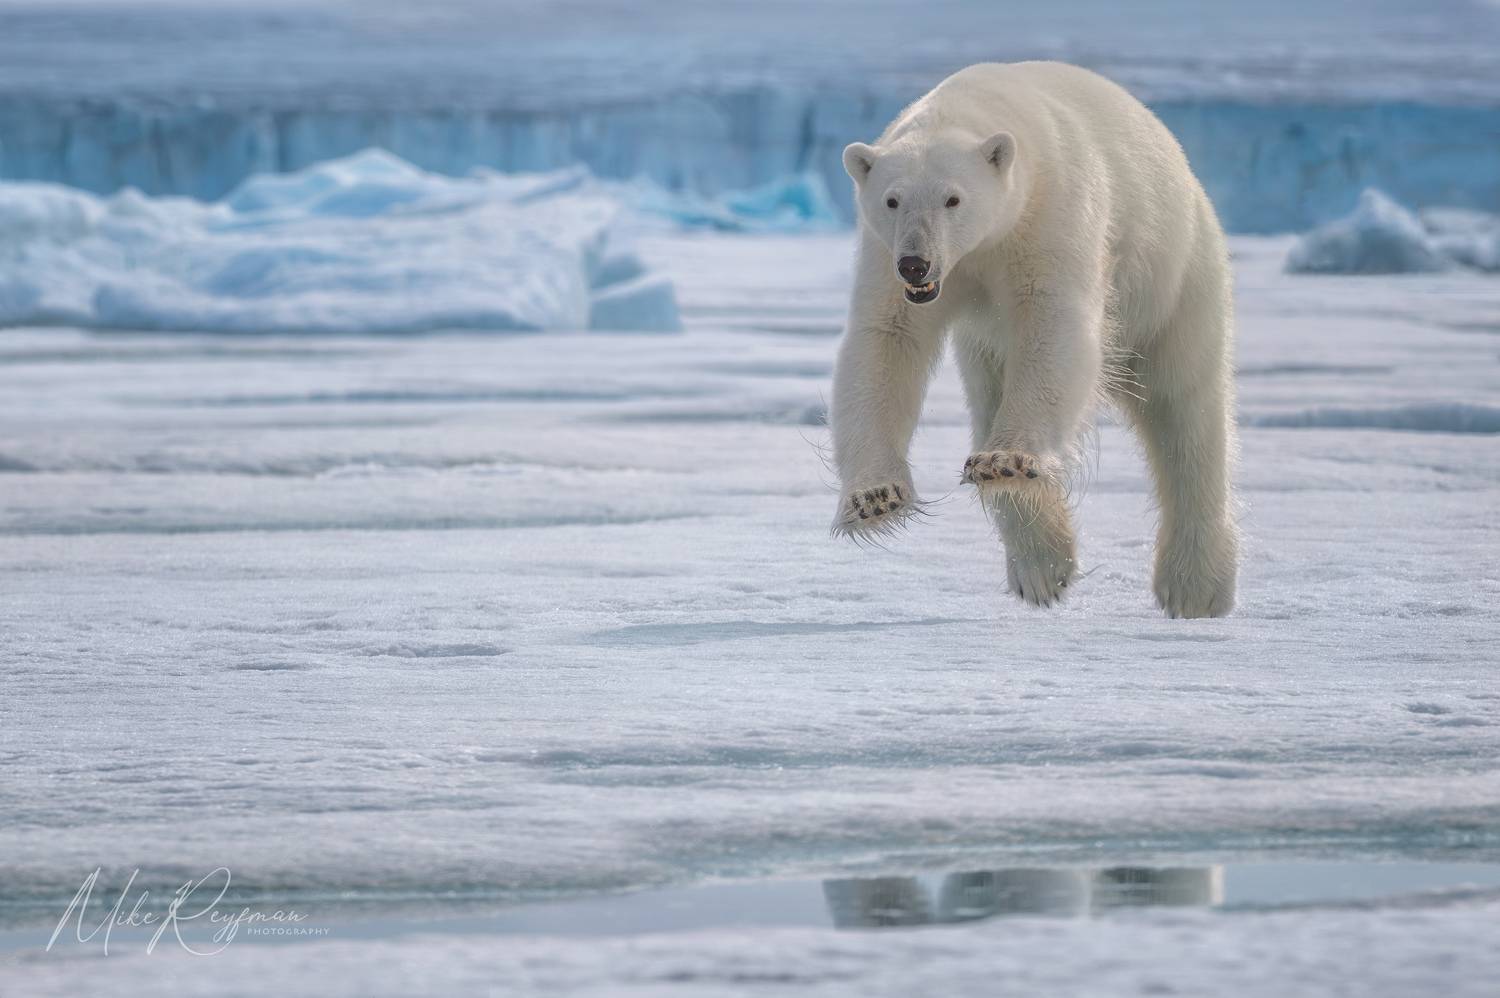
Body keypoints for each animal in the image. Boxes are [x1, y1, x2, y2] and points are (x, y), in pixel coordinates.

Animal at [829, 61, 1238, 619]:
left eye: (953, 198)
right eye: (892, 199)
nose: (916, 263)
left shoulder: (1050, 218)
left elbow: (1054, 326)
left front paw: (1006, 460)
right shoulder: (886, 256)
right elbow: (885, 341)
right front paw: (875, 498)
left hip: (1174, 279)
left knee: (1185, 409)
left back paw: (1194, 586)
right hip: (984, 347)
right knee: (989, 396)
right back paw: (1041, 566)